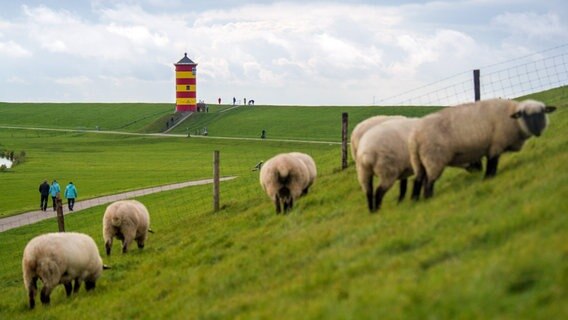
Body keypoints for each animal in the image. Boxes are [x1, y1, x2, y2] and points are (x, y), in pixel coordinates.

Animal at [410, 97, 556, 199]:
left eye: (542, 113)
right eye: (525, 115)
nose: (537, 131)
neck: (512, 117)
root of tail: (414, 136)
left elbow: (492, 163)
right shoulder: (496, 144)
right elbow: (492, 163)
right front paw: (488, 178)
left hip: (419, 161)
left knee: (418, 179)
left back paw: (415, 200)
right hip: (434, 159)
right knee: (428, 182)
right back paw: (428, 198)